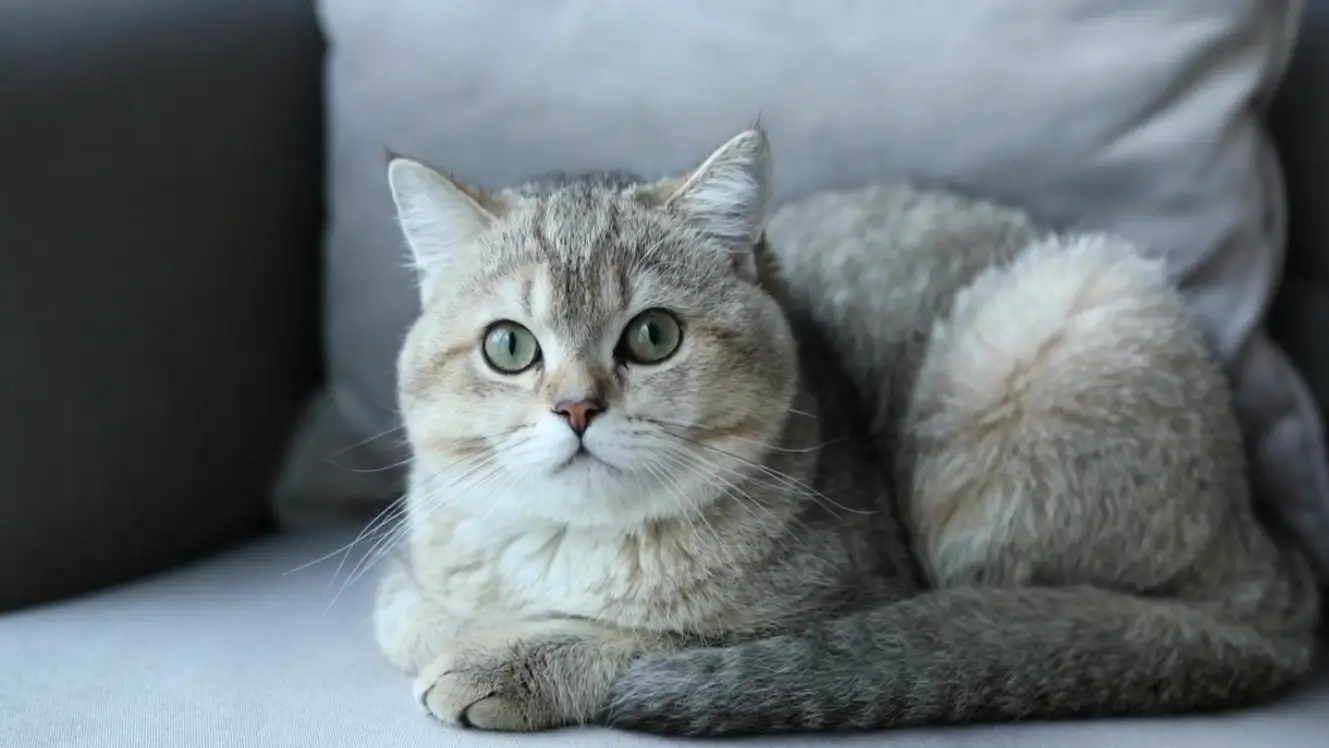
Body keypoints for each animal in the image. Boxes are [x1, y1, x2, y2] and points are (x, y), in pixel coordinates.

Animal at [372, 128, 1318, 738]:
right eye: (508, 347)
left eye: (652, 336)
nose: (575, 409)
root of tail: (1266, 563)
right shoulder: (408, 577)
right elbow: (413, 613)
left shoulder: (856, 589)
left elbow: (658, 634)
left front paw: (516, 659)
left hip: (1033, 344)